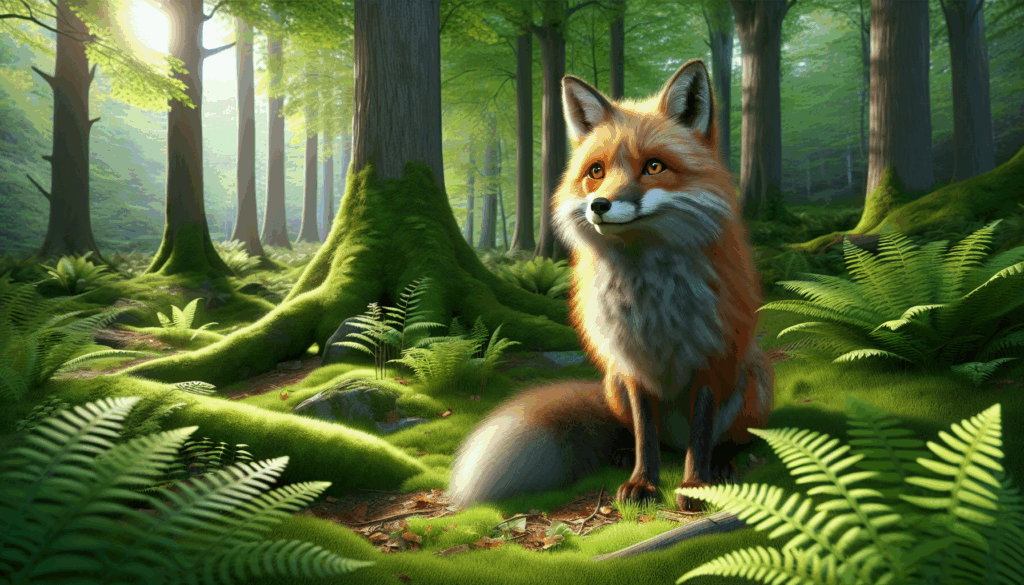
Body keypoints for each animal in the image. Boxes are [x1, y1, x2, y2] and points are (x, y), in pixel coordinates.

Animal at [449, 59, 773, 513]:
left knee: (726, 438)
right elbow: (644, 434)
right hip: (613, 382)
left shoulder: (711, 356)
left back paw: (723, 462)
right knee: (641, 434)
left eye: (653, 166)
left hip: (753, 375)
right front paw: (642, 483)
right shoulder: (631, 362)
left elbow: (701, 435)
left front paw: (695, 485)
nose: (598, 205)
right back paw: (623, 453)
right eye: (596, 172)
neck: (651, 297)